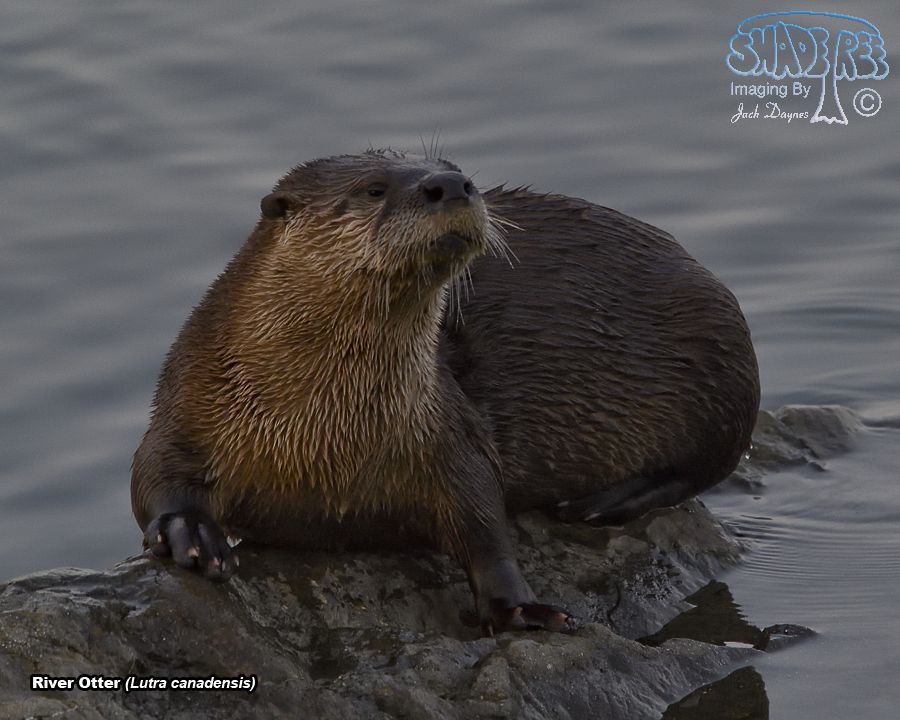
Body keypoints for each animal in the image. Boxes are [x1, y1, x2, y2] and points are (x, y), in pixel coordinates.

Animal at [132, 149, 759, 634]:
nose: (452, 186)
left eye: (457, 169)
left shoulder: (447, 430)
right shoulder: (184, 398)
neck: (318, 434)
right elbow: (151, 478)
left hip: (723, 356)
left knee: (705, 465)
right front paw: (190, 531)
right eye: (374, 188)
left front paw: (518, 608)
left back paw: (606, 501)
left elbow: (485, 527)